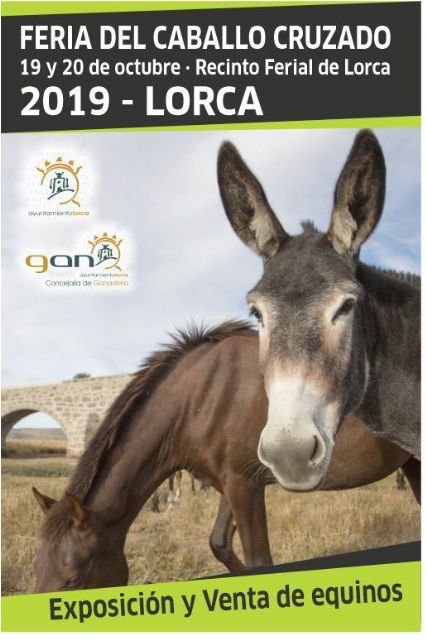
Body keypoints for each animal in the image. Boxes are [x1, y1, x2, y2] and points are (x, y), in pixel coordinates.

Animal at [32, 322, 419, 592]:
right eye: (37, 571)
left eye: (72, 579)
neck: (199, 396)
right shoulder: (231, 482)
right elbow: (219, 543)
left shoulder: (245, 486)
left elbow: (260, 562)